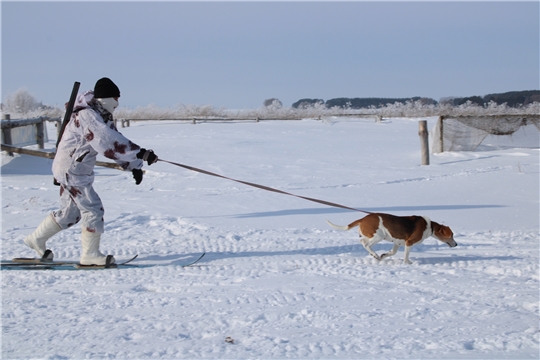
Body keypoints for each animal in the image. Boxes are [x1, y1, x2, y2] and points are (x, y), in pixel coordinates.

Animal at [326, 211, 458, 264]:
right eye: (451, 235)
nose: (456, 244)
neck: (430, 226)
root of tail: (363, 219)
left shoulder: (397, 243)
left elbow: (392, 252)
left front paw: (384, 255)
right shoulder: (409, 242)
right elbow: (406, 256)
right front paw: (408, 263)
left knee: (363, 241)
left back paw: (376, 255)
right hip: (378, 235)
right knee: (365, 243)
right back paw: (374, 254)